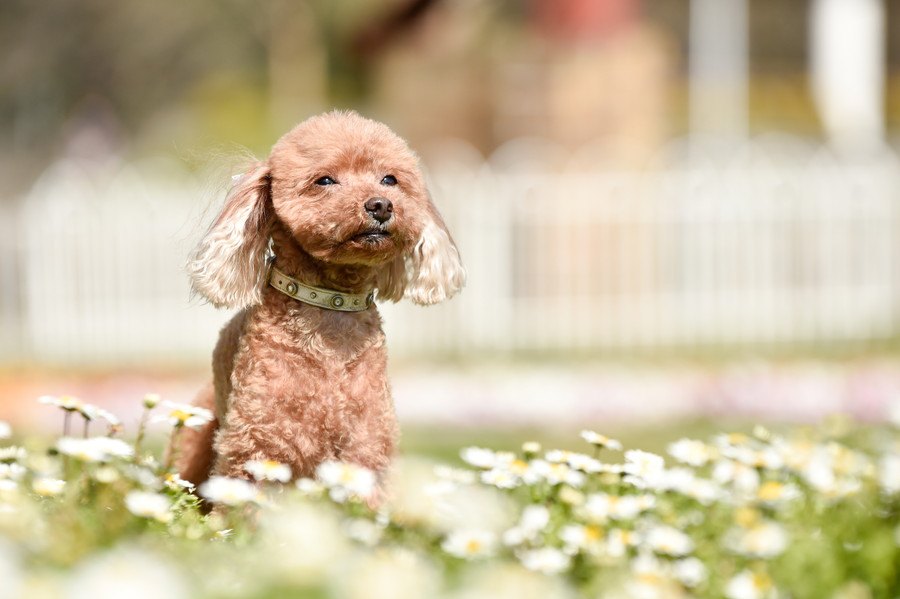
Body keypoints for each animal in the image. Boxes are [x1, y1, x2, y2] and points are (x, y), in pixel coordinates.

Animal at [180, 110, 468, 490]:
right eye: (325, 180)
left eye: (389, 179)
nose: (381, 205)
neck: (332, 305)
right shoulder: (256, 447)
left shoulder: (367, 445)